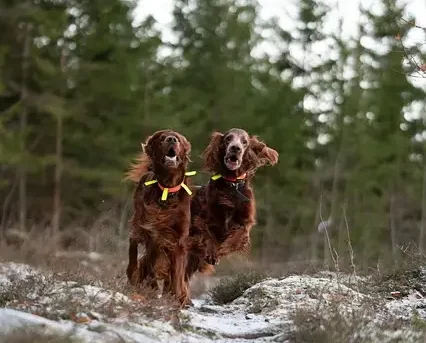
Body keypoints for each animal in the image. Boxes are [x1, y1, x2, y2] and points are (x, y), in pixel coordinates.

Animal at [125, 130, 194, 306]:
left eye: (179, 140)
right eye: (162, 138)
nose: (171, 139)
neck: (167, 189)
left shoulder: (178, 240)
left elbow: (177, 275)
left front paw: (176, 298)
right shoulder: (147, 229)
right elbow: (139, 255)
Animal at [186, 129, 278, 282]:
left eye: (244, 141)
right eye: (228, 138)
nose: (236, 148)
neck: (232, 184)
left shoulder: (244, 223)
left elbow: (235, 239)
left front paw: (221, 250)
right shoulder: (204, 218)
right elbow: (208, 234)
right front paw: (212, 253)